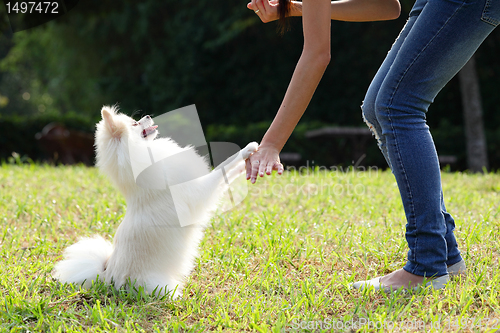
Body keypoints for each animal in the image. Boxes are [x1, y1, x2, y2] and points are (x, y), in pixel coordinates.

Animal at [53, 105, 258, 296]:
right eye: (134, 124)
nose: (148, 115)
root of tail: (106, 275)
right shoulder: (200, 191)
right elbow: (223, 168)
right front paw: (247, 150)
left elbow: (227, 172)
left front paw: (247, 165)